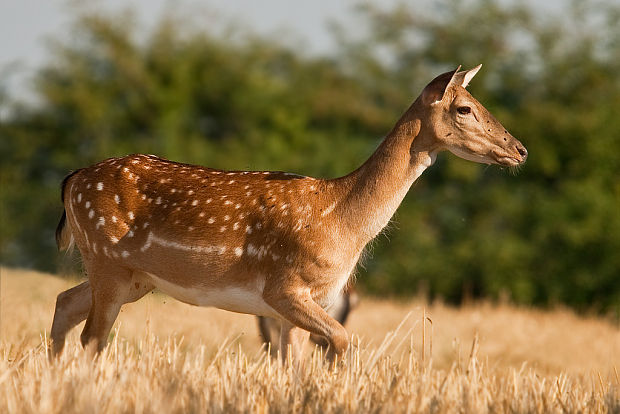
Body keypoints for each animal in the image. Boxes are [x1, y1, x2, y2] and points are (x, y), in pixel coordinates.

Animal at [52, 64, 528, 362]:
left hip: (134, 277)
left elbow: (295, 363)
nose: (520, 149)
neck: (342, 220)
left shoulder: (304, 303)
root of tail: (71, 180)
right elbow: (342, 341)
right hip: (108, 259)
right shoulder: (284, 286)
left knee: (64, 303)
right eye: (464, 108)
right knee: (92, 337)